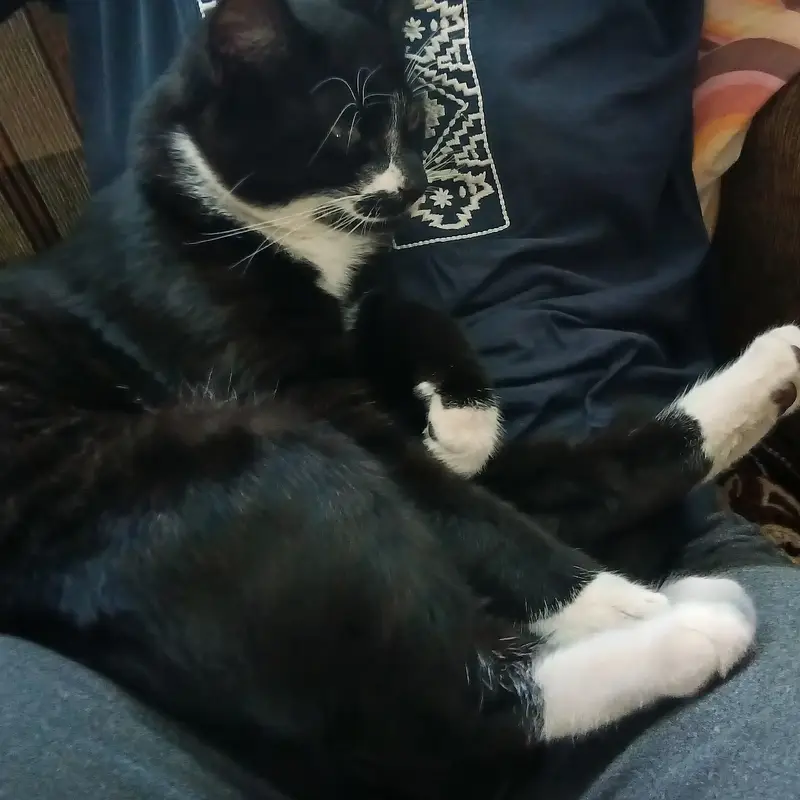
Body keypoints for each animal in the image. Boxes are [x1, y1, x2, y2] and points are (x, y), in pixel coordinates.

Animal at [0, 0, 796, 798]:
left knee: (578, 485)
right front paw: (601, 601)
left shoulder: (362, 325)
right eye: (350, 127)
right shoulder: (298, 392)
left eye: (415, 117)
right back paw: (675, 620)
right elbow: (465, 511)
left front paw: (466, 419)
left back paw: (770, 373)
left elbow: (413, 315)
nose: (413, 186)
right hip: (244, 455)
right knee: (461, 713)